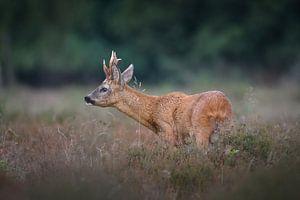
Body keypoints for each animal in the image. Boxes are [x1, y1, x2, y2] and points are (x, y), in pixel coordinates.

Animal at [84, 51, 232, 147]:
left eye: (104, 88)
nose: (87, 97)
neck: (153, 110)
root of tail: (219, 105)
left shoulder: (168, 133)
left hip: (201, 130)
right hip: (227, 128)